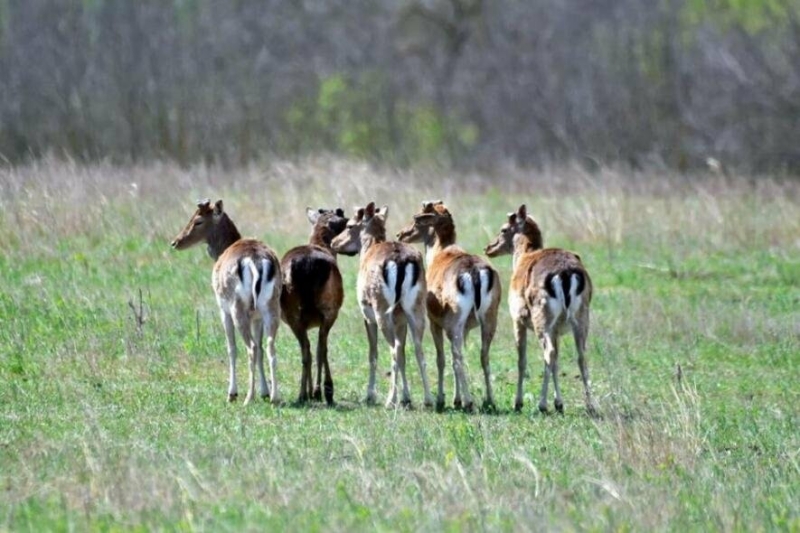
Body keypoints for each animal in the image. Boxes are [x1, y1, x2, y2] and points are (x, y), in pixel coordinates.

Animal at [170, 198, 282, 404]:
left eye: (198, 220)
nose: (175, 242)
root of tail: (255, 261)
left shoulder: (223, 309)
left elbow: (231, 348)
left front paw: (231, 393)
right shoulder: (257, 317)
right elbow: (261, 348)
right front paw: (264, 391)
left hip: (237, 307)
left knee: (250, 348)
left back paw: (248, 398)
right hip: (271, 306)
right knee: (269, 346)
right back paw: (274, 397)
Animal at [278, 207, 346, 404]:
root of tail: (307, 266)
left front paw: (310, 391)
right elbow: (320, 349)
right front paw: (317, 391)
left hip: (293, 314)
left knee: (306, 350)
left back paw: (303, 394)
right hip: (329, 309)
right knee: (320, 348)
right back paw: (325, 390)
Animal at [330, 201, 434, 408]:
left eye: (350, 225)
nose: (334, 242)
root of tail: (401, 261)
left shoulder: (367, 315)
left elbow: (373, 353)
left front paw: (370, 395)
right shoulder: (400, 319)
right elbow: (403, 353)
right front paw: (407, 397)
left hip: (382, 310)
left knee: (392, 350)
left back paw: (389, 400)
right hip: (415, 308)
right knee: (417, 349)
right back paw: (428, 399)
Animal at [396, 200, 500, 412]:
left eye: (417, 219)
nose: (400, 234)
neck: (441, 252)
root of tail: (474, 273)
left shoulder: (435, 322)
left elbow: (442, 359)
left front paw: (444, 399)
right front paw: (455, 399)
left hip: (455, 321)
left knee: (458, 356)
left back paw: (468, 402)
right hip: (489, 319)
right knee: (483, 355)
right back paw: (489, 400)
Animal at [484, 204, 596, 416]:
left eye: (504, 229)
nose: (488, 248)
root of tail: (566, 274)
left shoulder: (517, 318)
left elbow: (522, 360)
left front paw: (518, 403)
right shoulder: (557, 330)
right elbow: (558, 360)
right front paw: (558, 403)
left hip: (541, 317)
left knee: (548, 353)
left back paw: (543, 404)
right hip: (581, 317)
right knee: (580, 355)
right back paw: (590, 406)